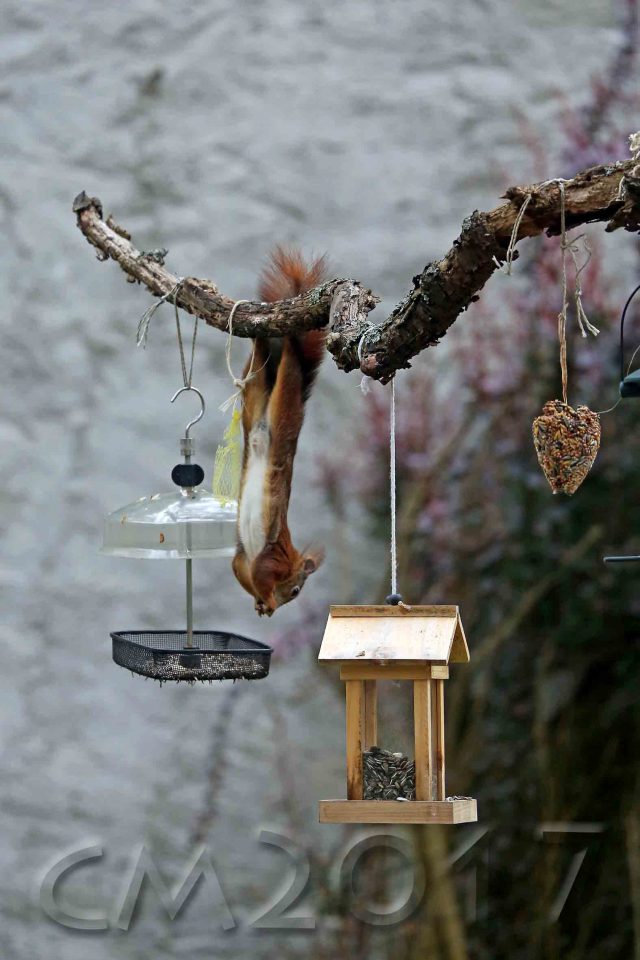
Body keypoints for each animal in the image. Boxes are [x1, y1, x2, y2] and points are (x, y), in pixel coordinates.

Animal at [231, 247, 327, 616]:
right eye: (297, 590)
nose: (280, 606)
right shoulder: (270, 559)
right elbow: (258, 574)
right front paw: (269, 602)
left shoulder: (243, 561)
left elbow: (240, 573)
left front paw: (262, 604)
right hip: (285, 403)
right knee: (290, 364)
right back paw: (287, 340)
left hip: (256, 397)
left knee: (260, 365)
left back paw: (259, 331)